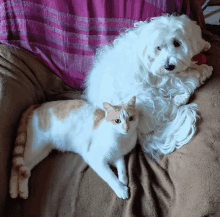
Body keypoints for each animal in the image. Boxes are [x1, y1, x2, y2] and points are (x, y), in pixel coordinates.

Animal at [9, 96, 138, 200]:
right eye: (117, 121)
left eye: (131, 118)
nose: (126, 128)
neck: (121, 140)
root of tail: (38, 105)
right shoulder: (96, 159)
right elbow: (110, 176)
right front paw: (121, 189)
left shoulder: (117, 155)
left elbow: (122, 167)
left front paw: (123, 180)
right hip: (35, 147)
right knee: (16, 167)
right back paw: (15, 191)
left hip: (42, 152)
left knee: (25, 168)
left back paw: (20, 191)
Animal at [84, 14, 213, 159]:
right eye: (158, 48)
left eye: (177, 43)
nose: (168, 66)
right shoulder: (164, 79)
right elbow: (189, 77)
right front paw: (204, 70)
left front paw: (204, 44)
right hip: (145, 96)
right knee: (169, 108)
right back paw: (181, 98)